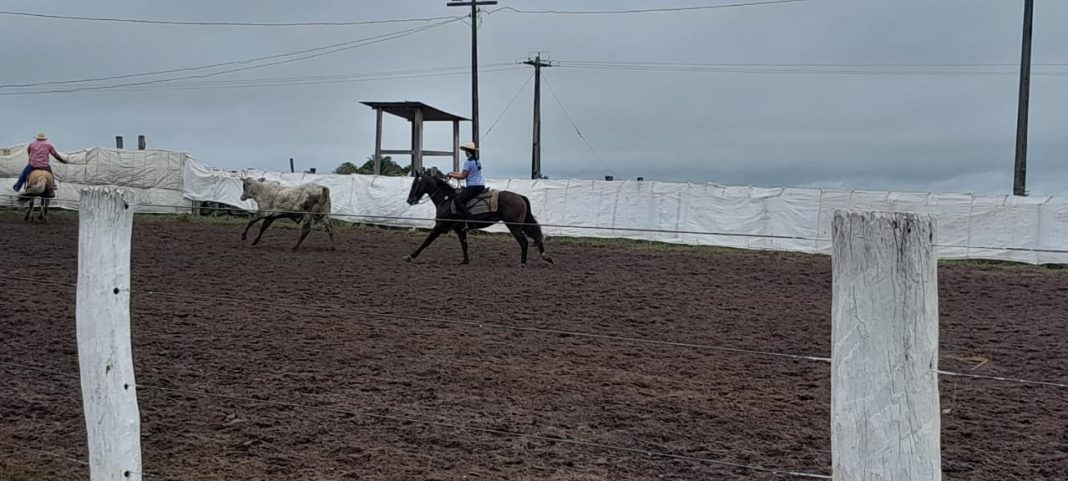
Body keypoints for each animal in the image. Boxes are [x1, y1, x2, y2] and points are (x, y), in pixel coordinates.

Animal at [403, 167, 553, 267]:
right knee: (536, 236)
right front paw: (465, 261)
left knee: (524, 242)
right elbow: (464, 245)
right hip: (523, 224)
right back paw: (546, 257)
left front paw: (410, 256)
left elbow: (426, 241)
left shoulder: (439, 226)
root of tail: (520, 196)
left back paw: (523, 263)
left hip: (514, 226)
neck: (447, 199)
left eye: (415, 184)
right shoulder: (460, 230)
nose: (410, 200)